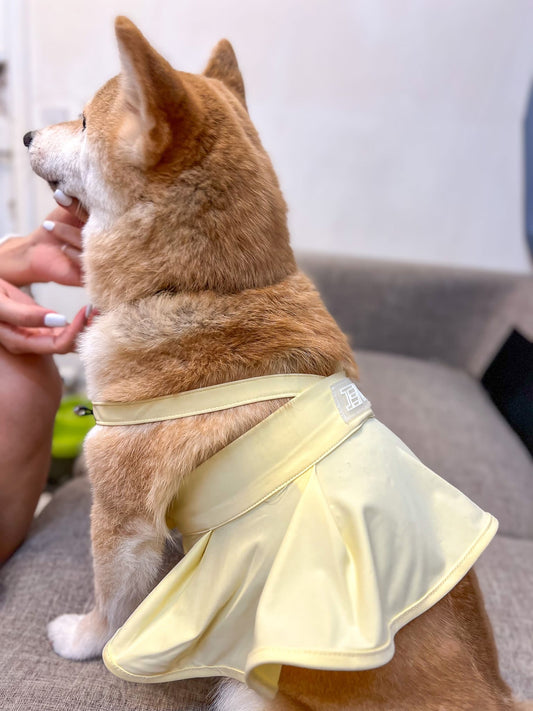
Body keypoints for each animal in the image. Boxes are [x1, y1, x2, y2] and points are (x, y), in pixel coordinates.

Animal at [23, 16, 524, 711]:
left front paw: (80, 638)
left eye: (82, 119)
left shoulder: (122, 509)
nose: (24, 134)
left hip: (246, 692)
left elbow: (111, 600)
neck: (207, 288)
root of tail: (496, 694)